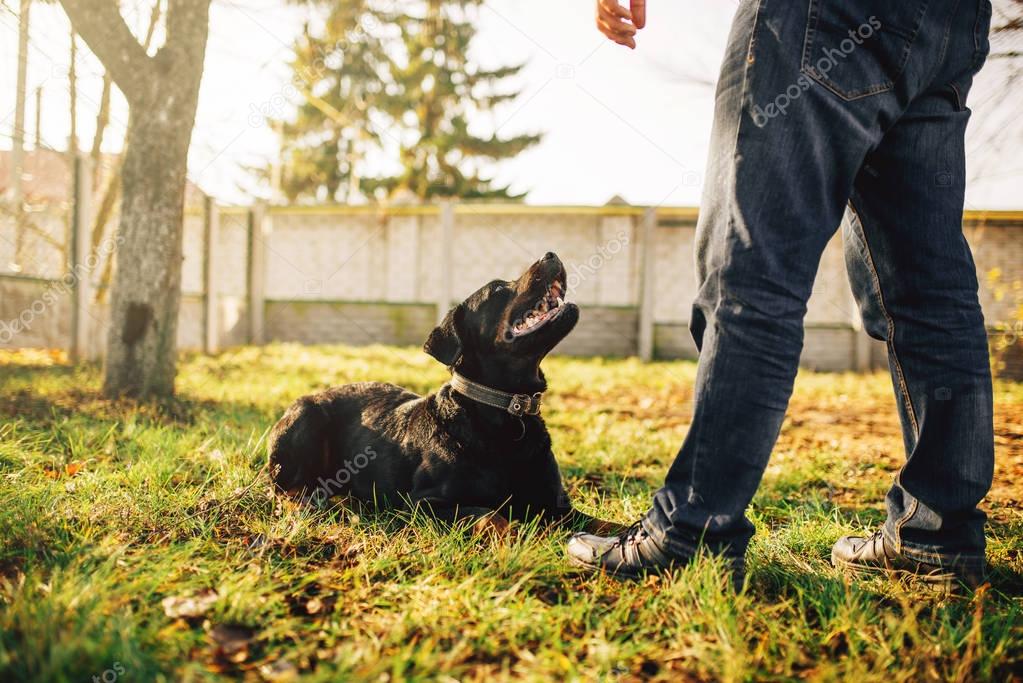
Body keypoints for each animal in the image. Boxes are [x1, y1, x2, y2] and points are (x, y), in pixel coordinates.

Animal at [265, 252, 613, 531]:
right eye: (498, 289)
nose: (550, 254)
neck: (504, 411)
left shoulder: (556, 504)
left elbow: (604, 524)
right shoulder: (424, 503)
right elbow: (491, 516)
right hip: (304, 418)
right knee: (285, 492)